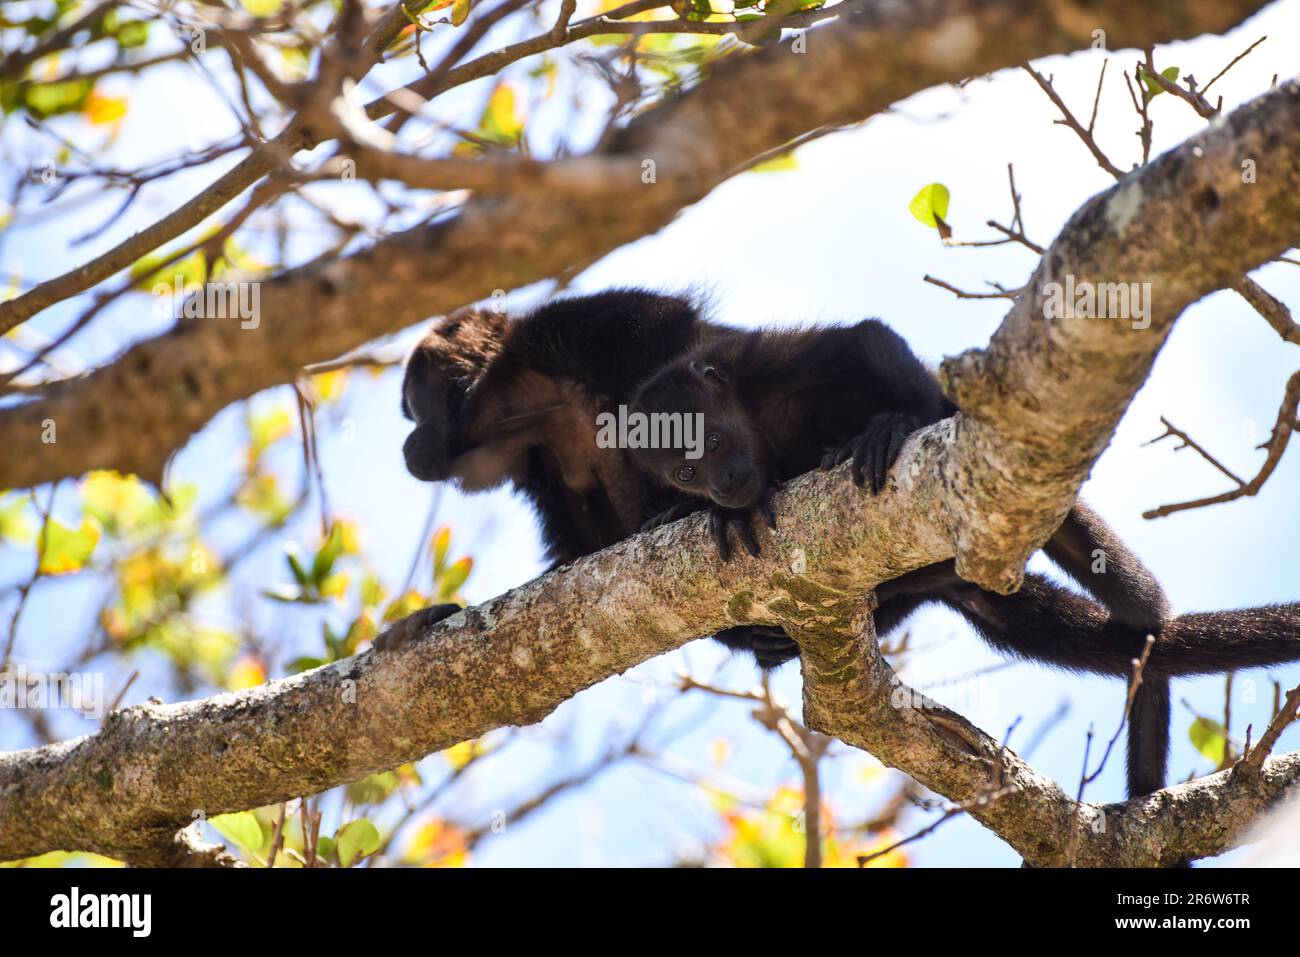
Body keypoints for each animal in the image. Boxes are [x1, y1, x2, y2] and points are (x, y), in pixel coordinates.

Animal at [624, 317, 1300, 799]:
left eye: (712, 440)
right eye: (685, 470)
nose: (724, 485)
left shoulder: (768, 363)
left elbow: (868, 342)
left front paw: (898, 423)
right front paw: (695, 514)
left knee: (1138, 605)